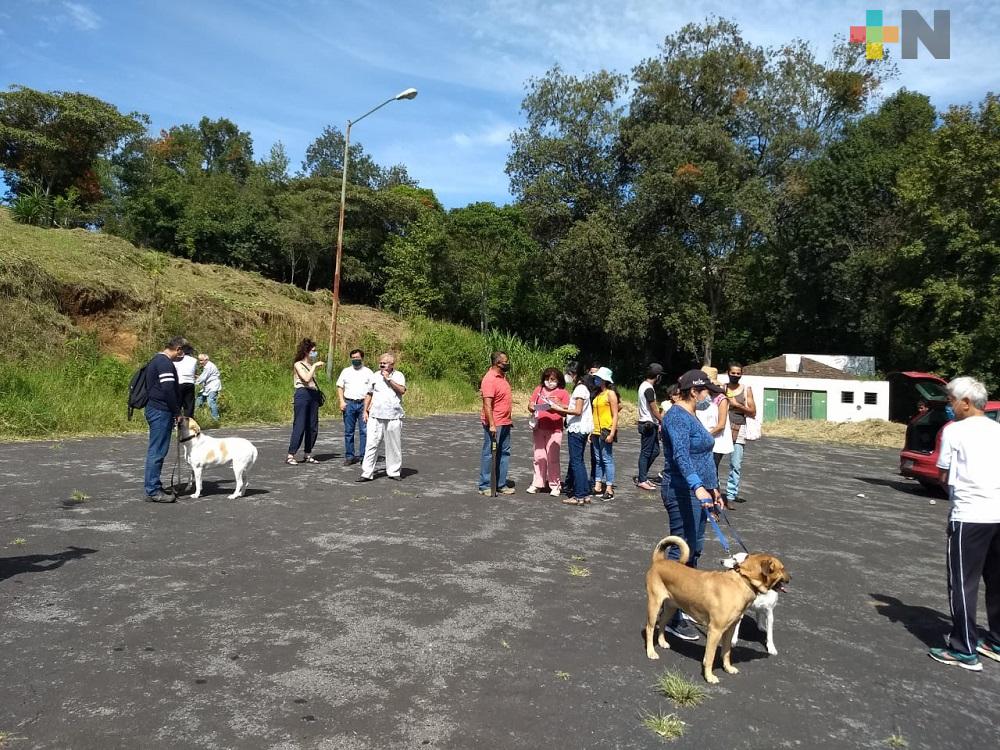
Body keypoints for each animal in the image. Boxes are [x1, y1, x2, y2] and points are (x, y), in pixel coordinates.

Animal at [644, 536, 792, 688]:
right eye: (782, 568)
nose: (791, 578)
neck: (743, 580)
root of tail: (660, 561)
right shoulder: (715, 631)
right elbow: (710, 657)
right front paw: (709, 676)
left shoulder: (730, 628)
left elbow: (726, 652)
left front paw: (728, 668)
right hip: (654, 604)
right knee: (650, 628)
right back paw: (651, 651)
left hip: (671, 607)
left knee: (662, 623)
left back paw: (662, 642)